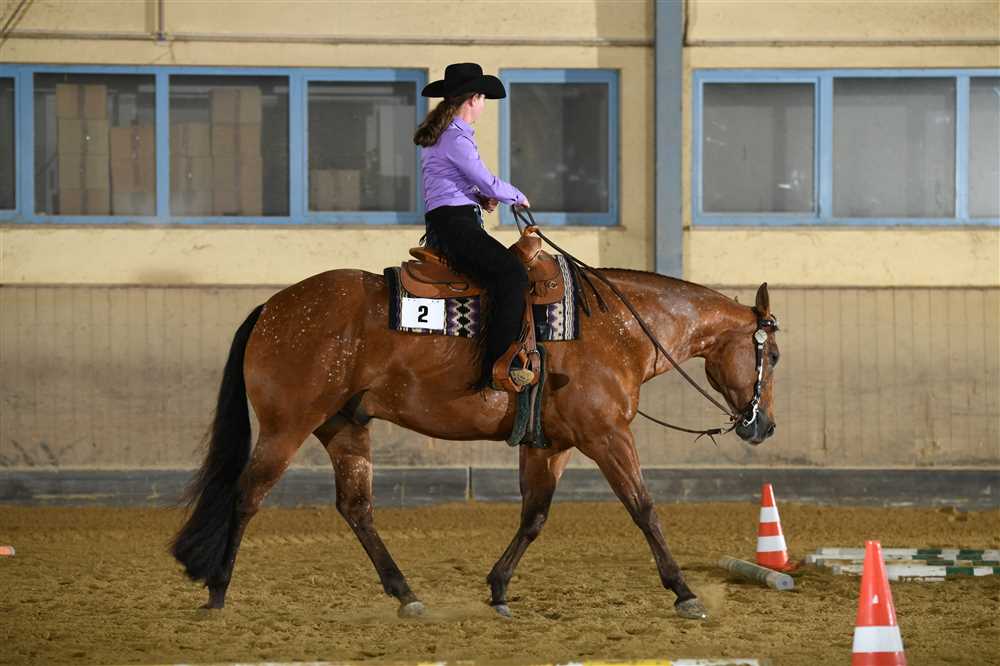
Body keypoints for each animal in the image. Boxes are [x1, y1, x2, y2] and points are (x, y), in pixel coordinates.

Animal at [170, 264, 779, 621]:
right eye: (770, 354)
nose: (765, 427)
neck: (615, 329)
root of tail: (272, 308)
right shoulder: (606, 435)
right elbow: (644, 508)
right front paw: (684, 592)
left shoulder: (550, 445)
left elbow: (534, 517)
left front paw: (499, 589)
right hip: (287, 426)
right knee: (247, 497)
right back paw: (217, 593)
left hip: (345, 426)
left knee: (356, 507)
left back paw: (406, 594)